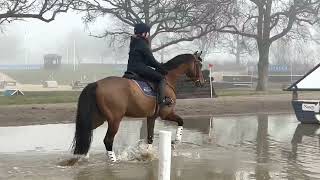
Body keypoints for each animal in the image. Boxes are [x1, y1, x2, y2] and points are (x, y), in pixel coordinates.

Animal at [72, 51, 205, 162]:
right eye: (200, 65)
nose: (202, 83)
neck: (167, 79)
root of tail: (96, 83)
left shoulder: (151, 117)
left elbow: (150, 137)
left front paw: (148, 154)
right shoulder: (166, 114)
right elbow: (181, 121)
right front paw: (176, 141)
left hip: (100, 118)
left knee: (88, 131)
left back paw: (84, 157)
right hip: (114, 120)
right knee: (107, 140)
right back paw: (114, 161)